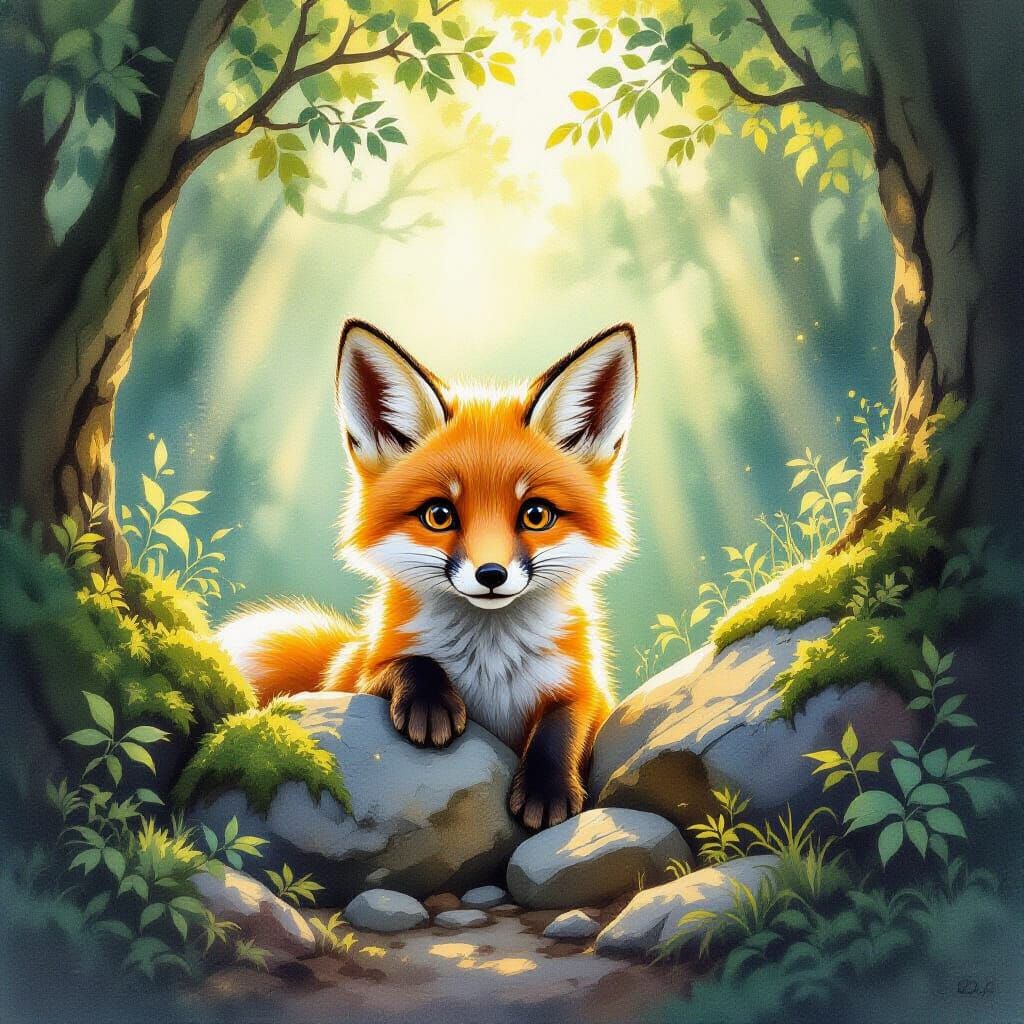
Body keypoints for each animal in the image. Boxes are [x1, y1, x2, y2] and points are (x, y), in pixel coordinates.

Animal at [217, 318, 638, 831]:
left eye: (536, 515)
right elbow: (407, 663)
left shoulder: (590, 688)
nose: (492, 574)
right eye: (439, 515)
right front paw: (430, 703)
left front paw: (547, 788)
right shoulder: (358, 675)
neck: (490, 662)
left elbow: (565, 721)